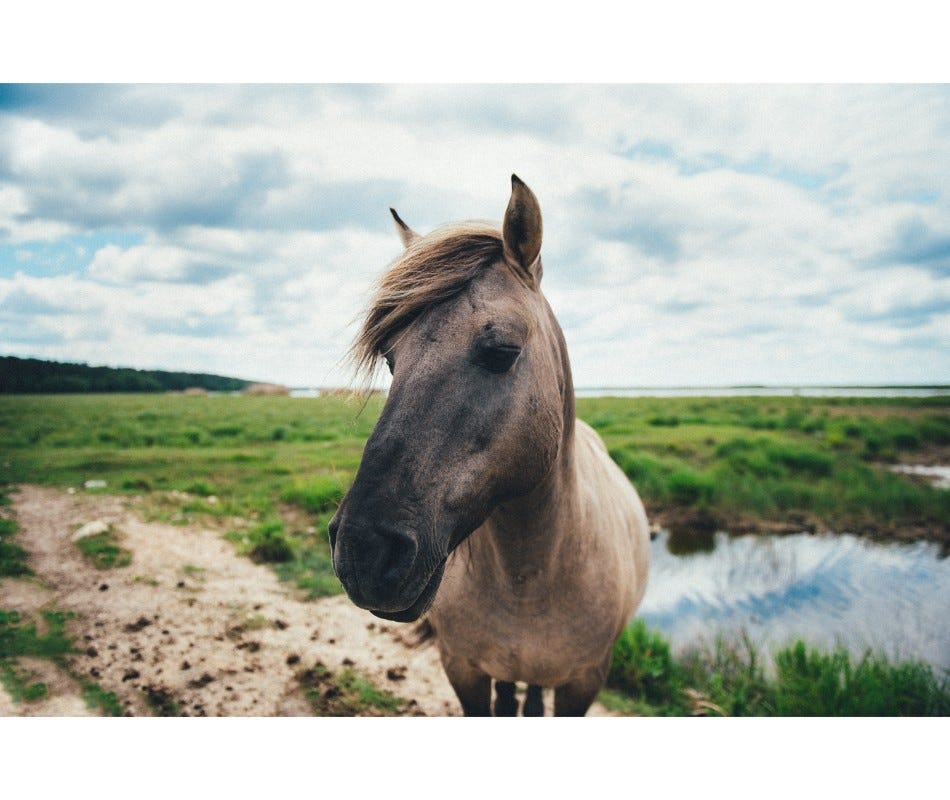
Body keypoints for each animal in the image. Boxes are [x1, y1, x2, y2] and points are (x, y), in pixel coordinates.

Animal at [330, 177, 656, 720]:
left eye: (502, 352)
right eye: (391, 359)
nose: (363, 554)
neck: (529, 578)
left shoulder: (582, 683)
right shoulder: (464, 668)